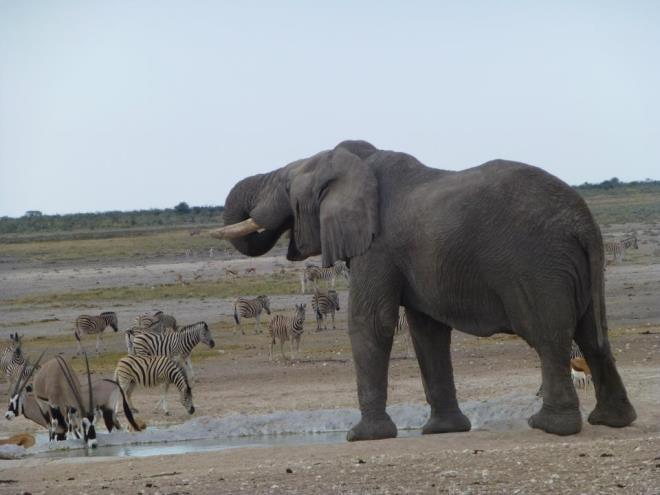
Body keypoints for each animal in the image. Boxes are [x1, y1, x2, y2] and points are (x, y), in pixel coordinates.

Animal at [211, 140, 636, 442]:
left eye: (285, 186)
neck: (357, 161)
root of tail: (585, 222)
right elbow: (427, 331)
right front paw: (442, 431)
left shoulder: (377, 247)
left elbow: (372, 322)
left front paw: (361, 436)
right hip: (574, 269)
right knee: (593, 336)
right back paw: (613, 421)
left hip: (538, 265)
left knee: (549, 337)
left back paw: (549, 426)